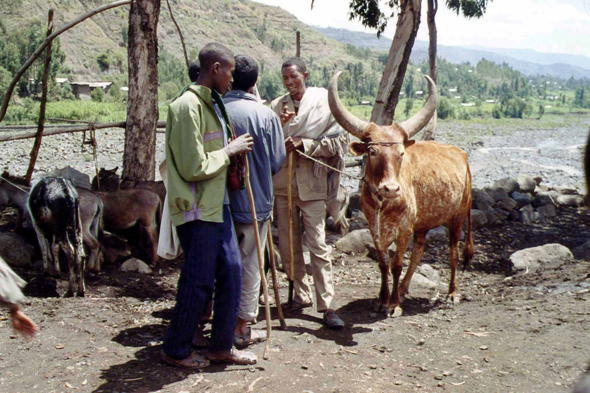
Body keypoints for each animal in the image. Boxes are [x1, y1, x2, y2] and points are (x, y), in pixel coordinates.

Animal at [328, 71, 476, 316]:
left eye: (401, 152)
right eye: (372, 151)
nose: (391, 188)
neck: (383, 204)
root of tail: (461, 154)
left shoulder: (405, 228)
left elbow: (397, 264)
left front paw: (394, 304)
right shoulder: (375, 228)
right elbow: (383, 263)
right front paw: (382, 299)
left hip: (458, 216)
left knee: (453, 252)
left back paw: (452, 293)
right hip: (423, 223)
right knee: (419, 251)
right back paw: (405, 289)